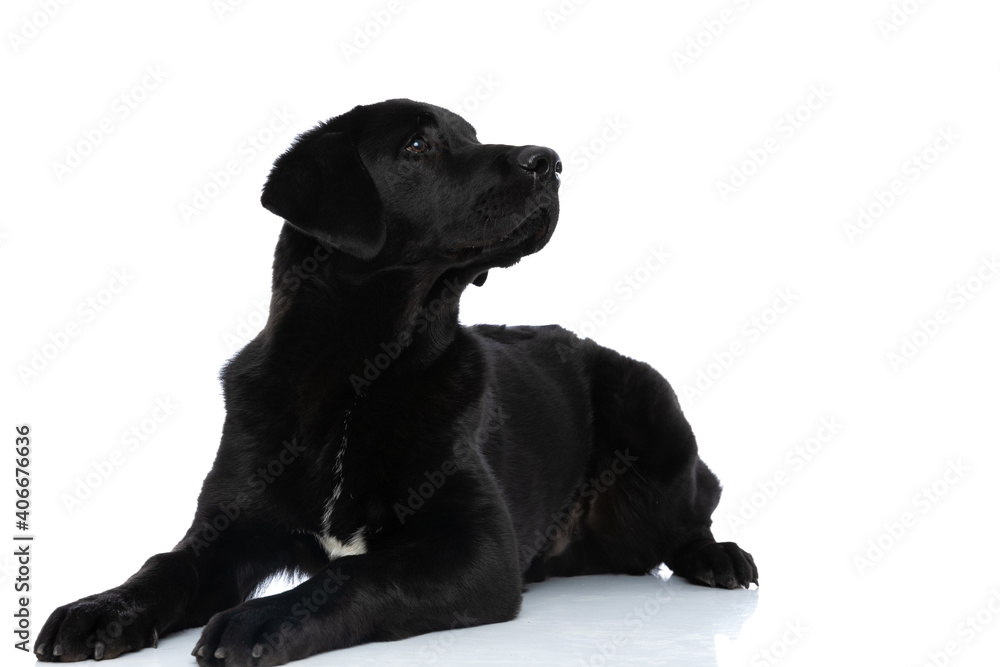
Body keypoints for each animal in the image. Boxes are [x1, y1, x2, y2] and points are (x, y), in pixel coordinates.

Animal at [36, 99, 756, 666]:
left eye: (472, 134)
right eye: (418, 144)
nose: (549, 160)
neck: (356, 378)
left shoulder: (476, 547)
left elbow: (357, 572)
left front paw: (258, 618)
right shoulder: (225, 527)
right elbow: (164, 565)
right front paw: (100, 607)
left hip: (654, 412)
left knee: (693, 513)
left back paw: (719, 557)